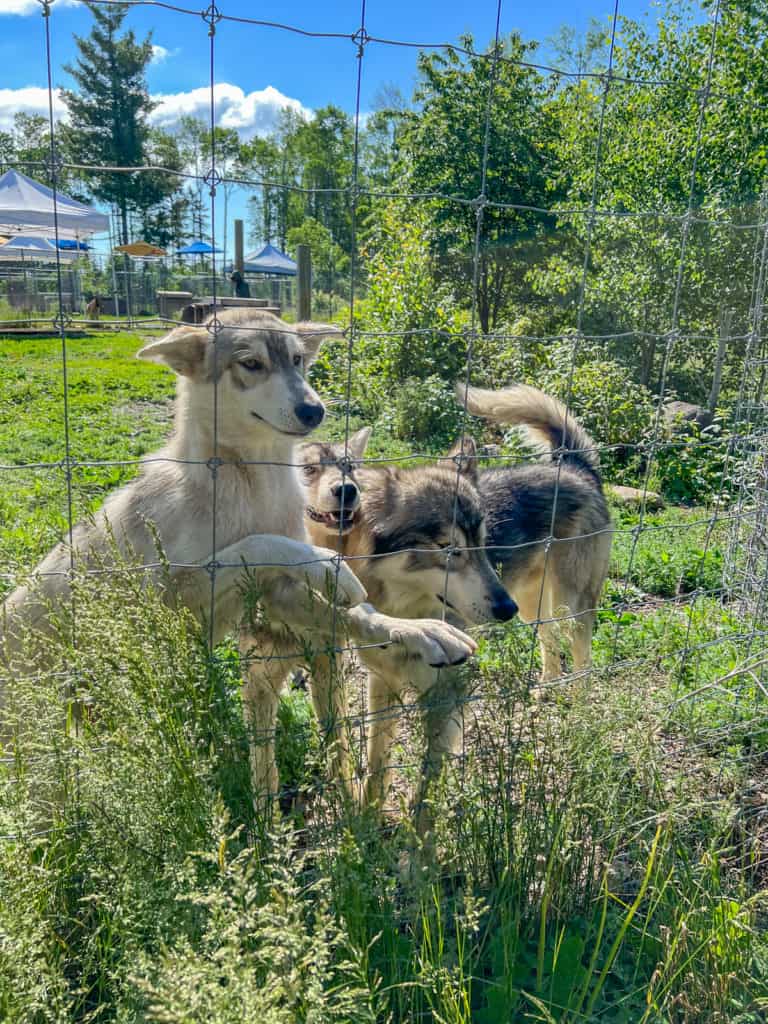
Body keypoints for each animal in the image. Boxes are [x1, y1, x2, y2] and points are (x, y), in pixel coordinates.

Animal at [0, 307, 475, 811]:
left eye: (298, 360)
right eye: (251, 364)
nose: (315, 410)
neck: (253, 486)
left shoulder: (278, 597)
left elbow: (358, 614)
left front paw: (419, 631)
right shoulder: (178, 594)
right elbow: (262, 544)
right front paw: (328, 563)